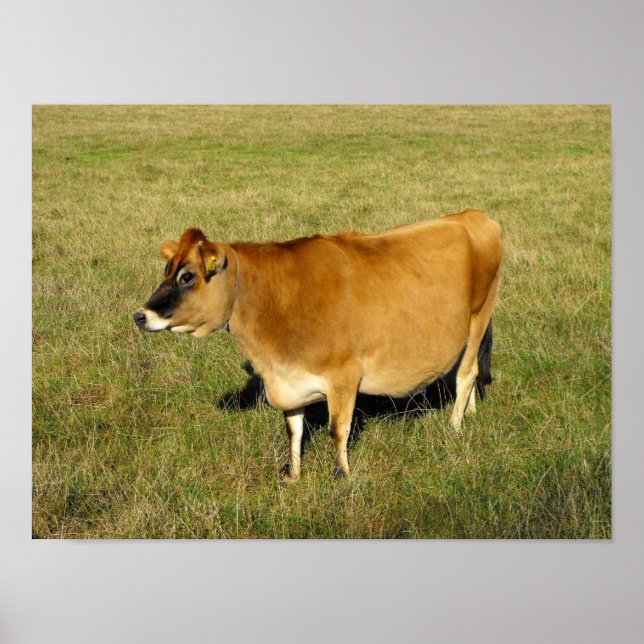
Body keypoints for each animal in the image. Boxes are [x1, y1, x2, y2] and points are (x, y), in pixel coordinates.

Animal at [133, 209, 503, 480]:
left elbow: (337, 430)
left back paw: (455, 427)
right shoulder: (287, 378)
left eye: (187, 276)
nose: (140, 315)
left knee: (466, 373)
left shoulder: (344, 375)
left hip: (479, 316)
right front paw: (293, 475)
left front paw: (341, 476)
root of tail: (472, 215)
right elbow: (294, 430)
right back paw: (468, 413)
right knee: (467, 372)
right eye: (167, 271)